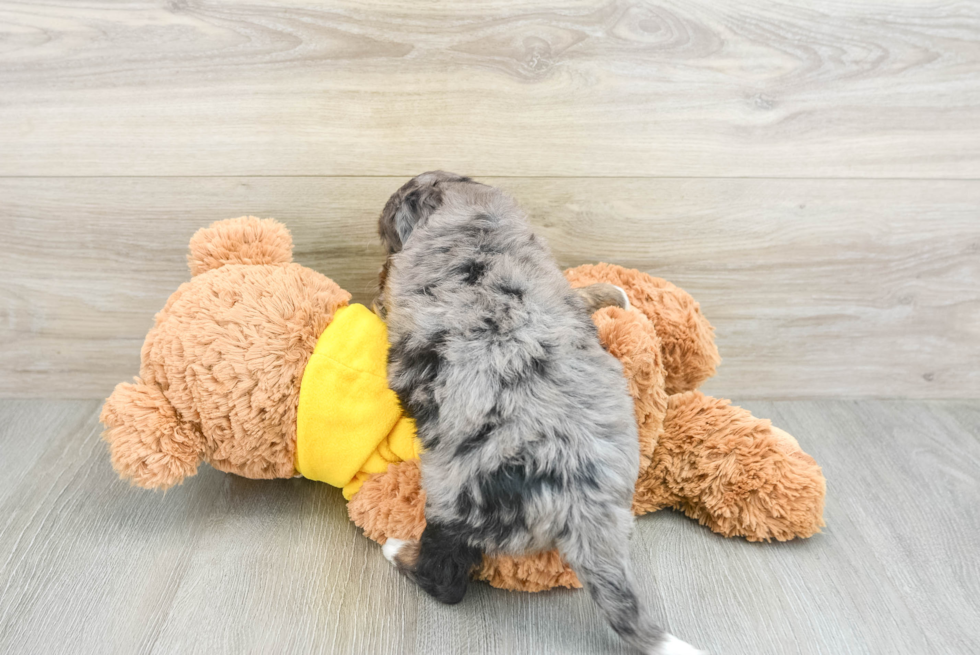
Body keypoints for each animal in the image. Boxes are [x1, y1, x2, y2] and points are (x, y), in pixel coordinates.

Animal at [376, 172, 704, 652]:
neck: (475, 224)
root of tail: (583, 503)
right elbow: (584, 293)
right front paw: (617, 295)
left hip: (454, 501)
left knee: (446, 578)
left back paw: (397, 551)